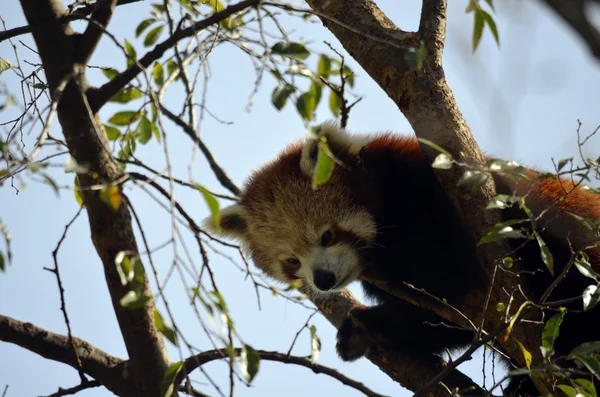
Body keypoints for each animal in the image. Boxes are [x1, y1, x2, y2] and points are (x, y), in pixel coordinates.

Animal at [205, 123, 600, 392]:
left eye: (327, 235)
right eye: (291, 261)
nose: (323, 280)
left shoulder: (440, 200)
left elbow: (449, 287)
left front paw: (374, 322)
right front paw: (363, 331)